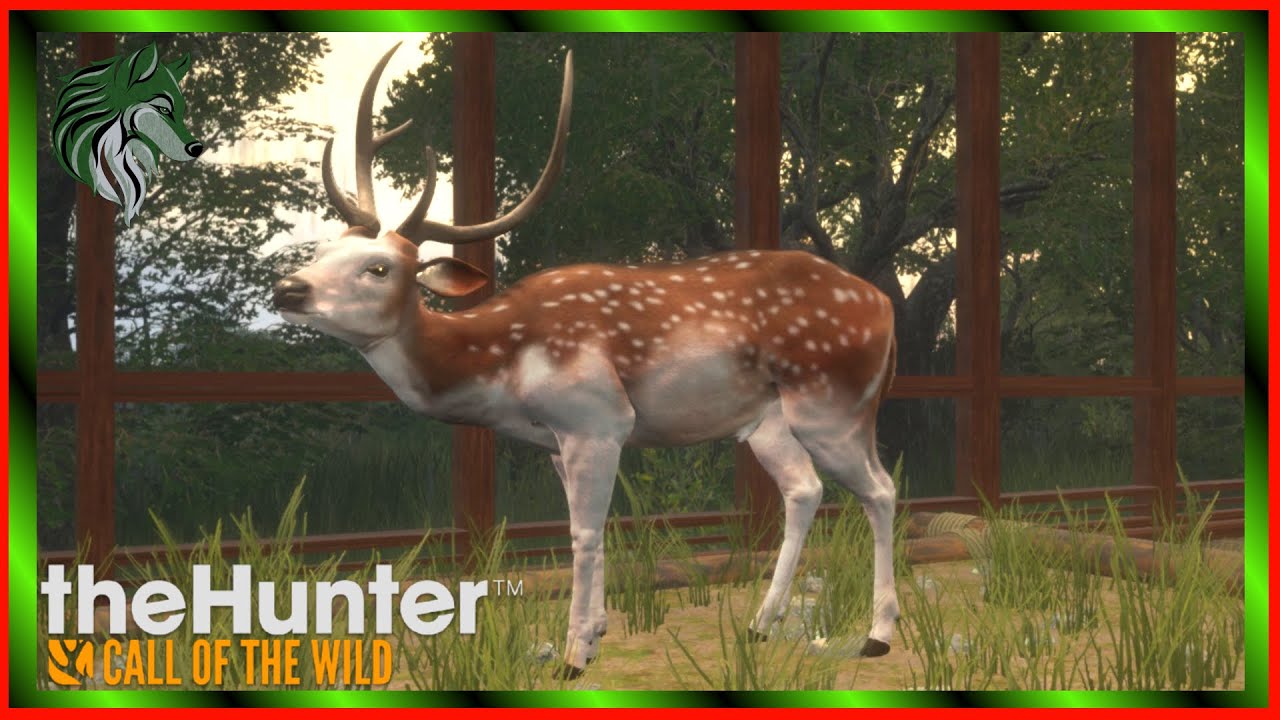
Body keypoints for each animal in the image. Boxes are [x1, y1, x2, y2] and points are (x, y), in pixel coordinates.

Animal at [273, 44, 900, 679]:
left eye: (379, 268)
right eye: (325, 248)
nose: (287, 290)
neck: (501, 366)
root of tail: (882, 306)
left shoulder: (597, 419)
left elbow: (585, 532)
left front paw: (574, 655)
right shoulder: (556, 441)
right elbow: (585, 525)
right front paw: (595, 635)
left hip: (833, 405)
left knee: (880, 488)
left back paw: (876, 636)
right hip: (767, 421)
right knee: (805, 489)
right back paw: (760, 625)